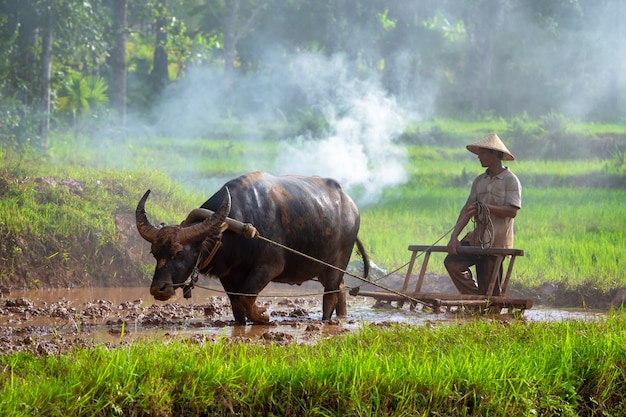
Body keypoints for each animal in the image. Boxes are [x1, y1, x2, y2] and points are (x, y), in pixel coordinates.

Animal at [136, 171, 368, 324]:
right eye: (154, 253)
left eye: (179, 252)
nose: (158, 289)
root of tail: (352, 206)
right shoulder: (228, 276)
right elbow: (237, 305)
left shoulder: (269, 267)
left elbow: (247, 297)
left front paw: (263, 316)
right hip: (322, 267)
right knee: (341, 289)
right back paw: (342, 316)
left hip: (337, 263)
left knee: (330, 294)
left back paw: (326, 320)